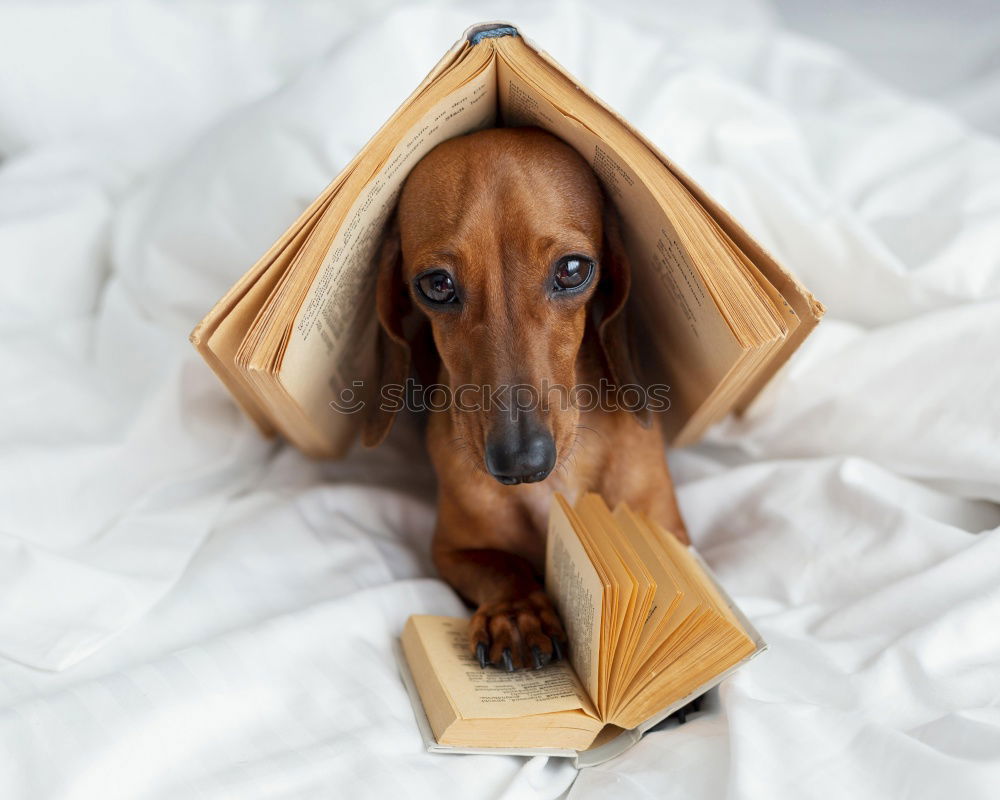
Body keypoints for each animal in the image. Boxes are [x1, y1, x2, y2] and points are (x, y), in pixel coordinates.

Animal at [366, 126, 688, 668]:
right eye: (436, 284)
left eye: (573, 269)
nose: (521, 463)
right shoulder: (451, 549)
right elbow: (501, 566)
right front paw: (516, 612)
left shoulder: (670, 529)